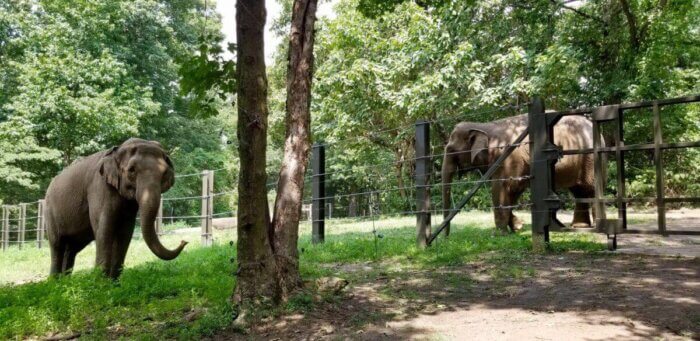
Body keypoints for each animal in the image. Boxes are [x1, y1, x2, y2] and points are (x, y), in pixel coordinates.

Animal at [46, 137, 189, 278]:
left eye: (164, 172)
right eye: (132, 170)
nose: (184, 241)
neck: (117, 149)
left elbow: (125, 232)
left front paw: (113, 282)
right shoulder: (99, 187)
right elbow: (105, 228)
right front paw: (100, 282)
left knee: (71, 248)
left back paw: (64, 280)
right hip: (50, 211)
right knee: (57, 244)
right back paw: (54, 281)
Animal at [442, 114, 600, 234]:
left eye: (451, 150)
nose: (446, 238)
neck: (483, 126)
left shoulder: (509, 157)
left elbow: (503, 188)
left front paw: (500, 233)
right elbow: (513, 190)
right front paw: (517, 226)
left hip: (590, 158)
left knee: (591, 188)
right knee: (579, 190)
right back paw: (580, 226)